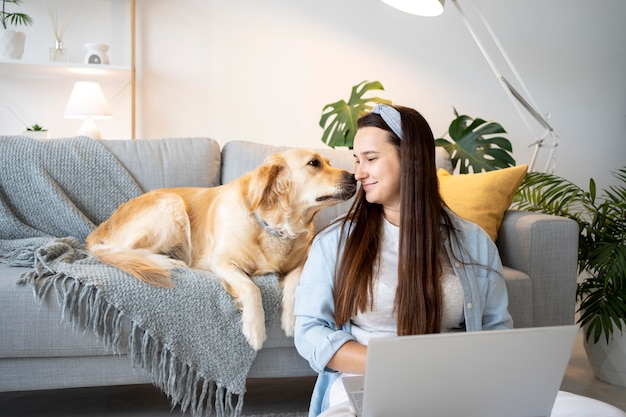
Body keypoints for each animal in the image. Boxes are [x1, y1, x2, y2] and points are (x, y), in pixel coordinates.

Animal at [86, 148, 356, 350]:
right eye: (314, 163)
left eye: (329, 162)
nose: (354, 176)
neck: (274, 226)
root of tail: (100, 229)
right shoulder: (221, 262)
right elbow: (251, 288)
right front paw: (254, 329)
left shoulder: (303, 259)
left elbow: (294, 282)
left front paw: (290, 320)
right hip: (171, 204)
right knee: (122, 251)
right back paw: (168, 261)